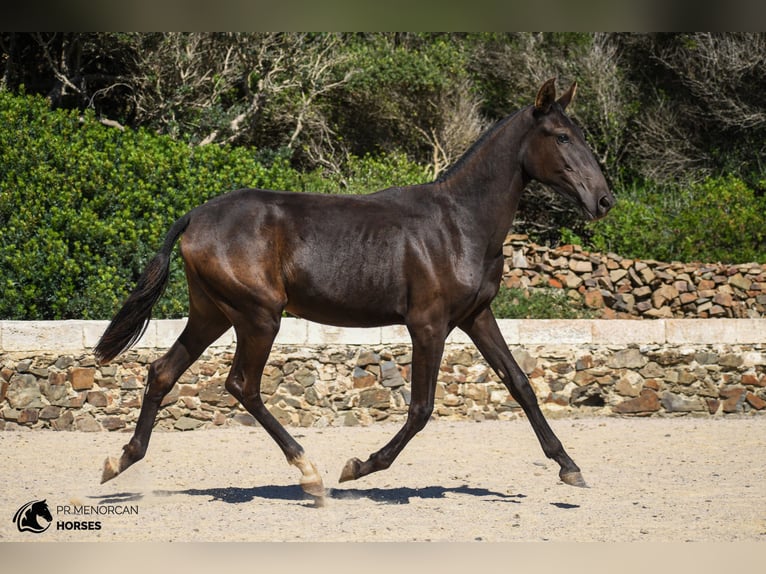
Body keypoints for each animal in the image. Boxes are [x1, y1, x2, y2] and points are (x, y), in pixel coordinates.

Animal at [93, 79, 616, 502]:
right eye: (562, 136)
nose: (604, 200)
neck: (460, 224)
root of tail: (194, 217)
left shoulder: (476, 317)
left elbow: (521, 385)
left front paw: (570, 468)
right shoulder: (428, 325)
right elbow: (422, 408)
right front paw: (359, 466)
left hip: (213, 314)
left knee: (163, 372)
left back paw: (119, 461)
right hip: (259, 316)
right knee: (242, 384)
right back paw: (309, 472)